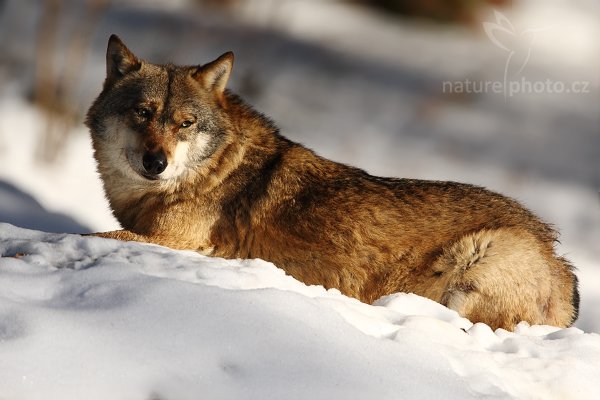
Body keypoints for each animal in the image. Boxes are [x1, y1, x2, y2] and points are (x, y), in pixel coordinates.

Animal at [86, 34, 580, 330]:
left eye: (185, 123)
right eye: (143, 113)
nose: (156, 162)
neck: (212, 171)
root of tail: (559, 260)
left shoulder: (182, 243)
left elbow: (92, 235)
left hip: (476, 262)